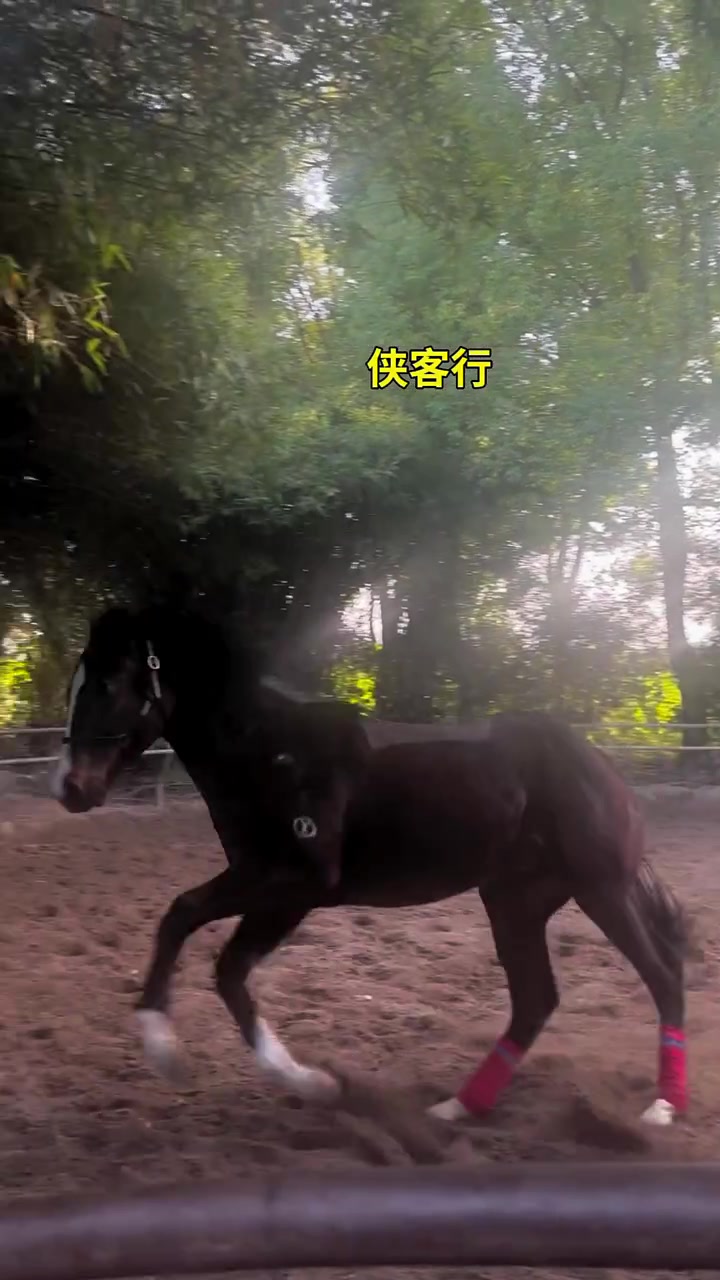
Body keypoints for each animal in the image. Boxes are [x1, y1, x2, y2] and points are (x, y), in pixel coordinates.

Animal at [51, 603, 688, 1128]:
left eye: (109, 682)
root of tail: (603, 767)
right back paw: (457, 1108)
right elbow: (204, 944)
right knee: (536, 1000)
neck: (273, 754)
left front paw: (184, 1056)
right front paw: (297, 1080)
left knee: (661, 975)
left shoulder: (296, 885)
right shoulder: (270, 885)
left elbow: (202, 938)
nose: (70, 788)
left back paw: (662, 1107)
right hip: (515, 901)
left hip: (601, 889)